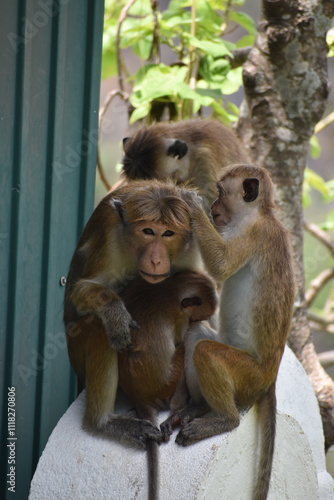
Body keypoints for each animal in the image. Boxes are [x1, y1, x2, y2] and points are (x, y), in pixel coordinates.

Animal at [62, 179, 204, 450]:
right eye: (148, 231)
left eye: (168, 233)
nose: (156, 260)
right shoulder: (109, 236)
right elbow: (81, 290)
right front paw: (115, 313)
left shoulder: (191, 246)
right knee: (98, 326)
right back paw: (102, 422)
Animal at [117, 272, 217, 500]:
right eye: (194, 317)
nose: (194, 320)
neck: (170, 287)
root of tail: (138, 396)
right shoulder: (178, 316)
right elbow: (183, 334)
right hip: (169, 385)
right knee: (185, 344)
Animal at [162, 164, 294, 500]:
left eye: (221, 193)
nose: (213, 208)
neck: (254, 214)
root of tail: (269, 380)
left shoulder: (254, 234)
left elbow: (221, 266)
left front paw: (191, 203)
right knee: (197, 338)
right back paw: (195, 408)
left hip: (249, 376)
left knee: (208, 351)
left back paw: (225, 420)